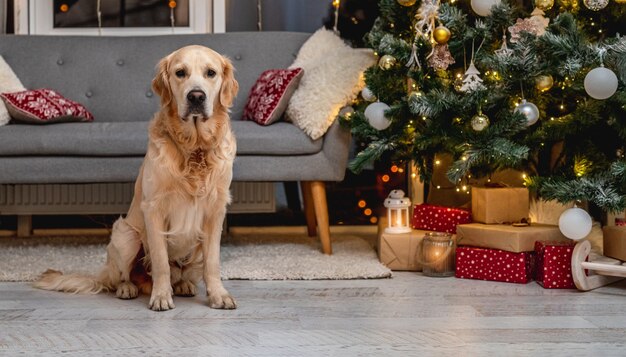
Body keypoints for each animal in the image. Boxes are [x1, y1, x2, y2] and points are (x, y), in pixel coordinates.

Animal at [34, 45, 239, 312]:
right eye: (180, 73)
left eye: (211, 73)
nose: (196, 97)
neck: (194, 149)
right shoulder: (154, 209)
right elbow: (161, 262)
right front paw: (161, 296)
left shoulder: (215, 211)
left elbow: (212, 263)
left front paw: (218, 295)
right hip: (125, 234)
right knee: (123, 276)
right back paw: (128, 288)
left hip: (193, 250)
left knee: (183, 272)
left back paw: (183, 285)